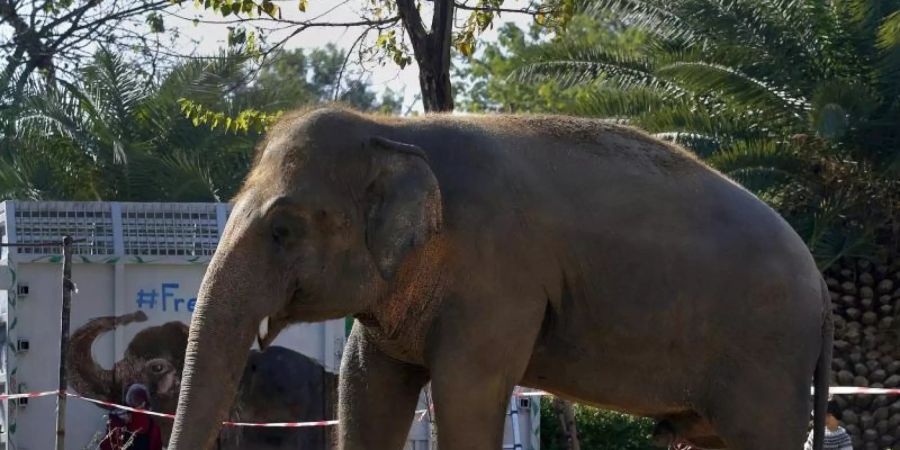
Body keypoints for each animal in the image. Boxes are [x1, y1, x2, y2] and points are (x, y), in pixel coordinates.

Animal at [167, 108, 828, 450]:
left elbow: (468, 390)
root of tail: (820, 284)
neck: (394, 128)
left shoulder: (500, 276)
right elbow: (365, 385)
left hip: (768, 357)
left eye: (282, 229)